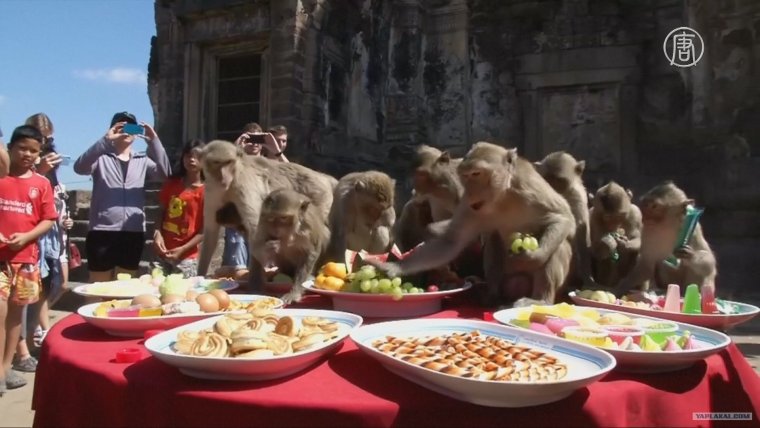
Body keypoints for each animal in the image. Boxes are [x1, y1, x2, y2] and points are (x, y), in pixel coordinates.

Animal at [197, 140, 336, 288]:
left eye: (228, 162)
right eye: (216, 163)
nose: (223, 176)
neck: (230, 184)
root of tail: (323, 177)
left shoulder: (243, 185)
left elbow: (255, 230)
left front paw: (254, 283)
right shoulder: (212, 189)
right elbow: (211, 233)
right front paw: (199, 276)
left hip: (321, 197)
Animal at [370, 143, 576, 304]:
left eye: (476, 174)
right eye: (466, 176)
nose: (471, 190)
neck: (502, 197)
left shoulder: (529, 186)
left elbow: (563, 216)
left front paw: (533, 256)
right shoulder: (469, 204)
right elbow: (451, 242)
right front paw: (396, 267)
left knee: (560, 244)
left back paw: (540, 299)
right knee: (493, 241)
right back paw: (491, 295)